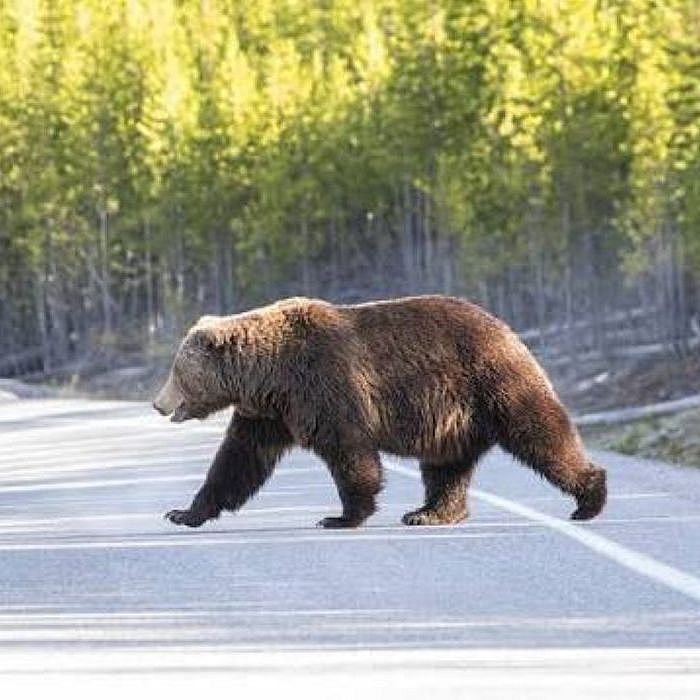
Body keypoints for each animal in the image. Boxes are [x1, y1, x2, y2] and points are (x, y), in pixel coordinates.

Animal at [153, 295, 607, 529]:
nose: (159, 404)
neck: (268, 375)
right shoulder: (269, 413)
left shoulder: (323, 384)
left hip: (492, 383)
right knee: (446, 466)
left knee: (540, 434)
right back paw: (429, 513)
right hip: (455, 418)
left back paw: (589, 498)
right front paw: (183, 512)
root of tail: (509, 330)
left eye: (176, 370)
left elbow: (348, 450)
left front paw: (342, 516)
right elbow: (238, 460)